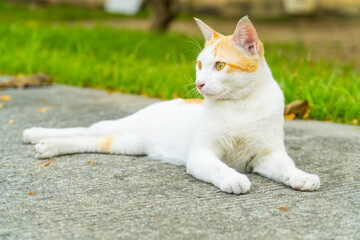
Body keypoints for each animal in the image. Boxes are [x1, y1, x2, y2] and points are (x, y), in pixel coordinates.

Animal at [22, 15, 320, 194]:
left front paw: (301, 176)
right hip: (121, 128)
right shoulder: (201, 155)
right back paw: (37, 136)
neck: (241, 105)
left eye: (220, 65)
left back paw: (46, 146)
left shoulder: (268, 155)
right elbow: (219, 167)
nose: (199, 84)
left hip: (128, 144)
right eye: (199, 65)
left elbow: (286, 167)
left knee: (92, 140)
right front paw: (233, 178)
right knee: (88, 128)